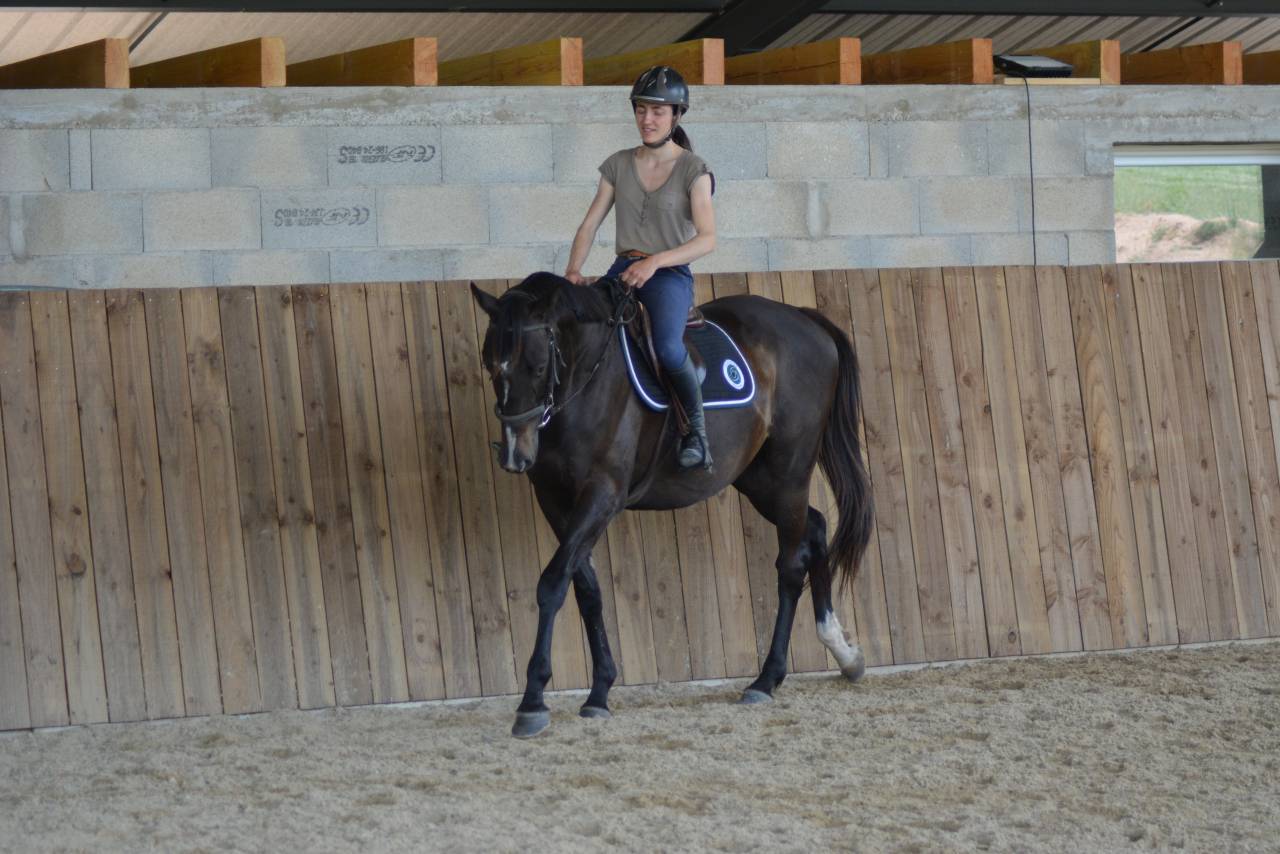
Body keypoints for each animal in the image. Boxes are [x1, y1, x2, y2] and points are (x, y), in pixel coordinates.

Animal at [469, 272, 874, 738]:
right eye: (490, 365)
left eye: (536, 366)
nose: (515, 455)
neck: (587, 378)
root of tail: (805, 320)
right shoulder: (555, 500)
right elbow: (585, 586)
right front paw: (600, 691)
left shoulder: (602, 493)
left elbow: (553, 583)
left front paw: (533, 701)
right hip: (760, 479)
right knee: (816, 526)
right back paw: (844, 653)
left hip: (789, 470)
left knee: (791, 565)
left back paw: (766, 680)